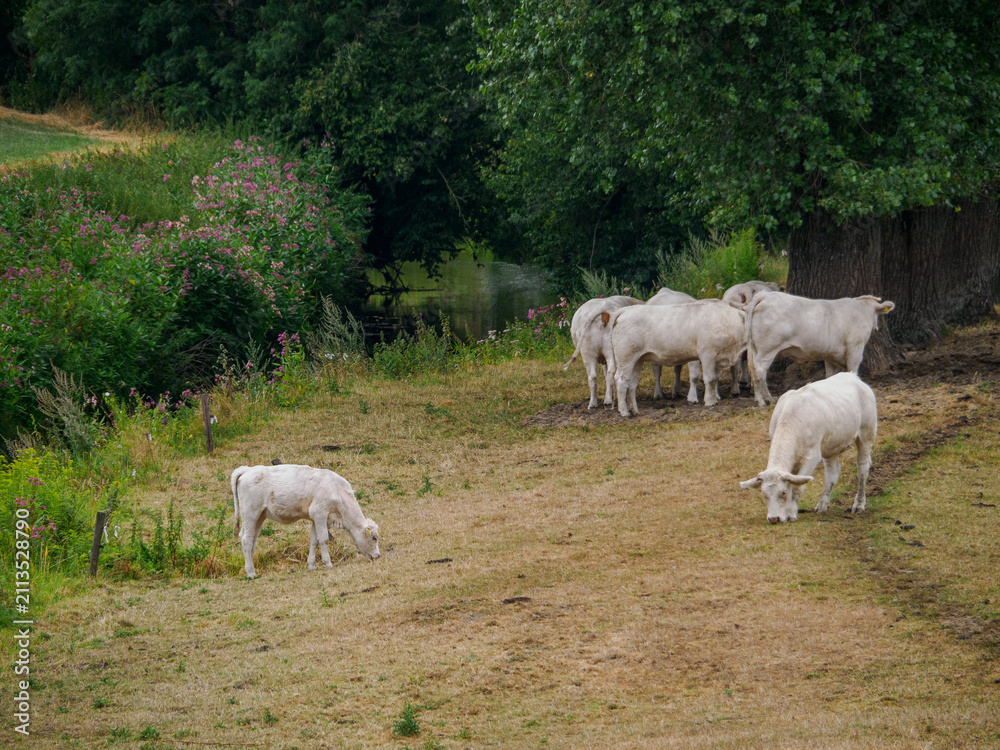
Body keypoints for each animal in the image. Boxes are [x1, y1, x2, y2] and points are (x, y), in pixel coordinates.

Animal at [232, 464, 380, 579]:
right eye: (374, 538)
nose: (378, 556)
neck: (337, 490)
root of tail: (247, 469)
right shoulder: (320, 513)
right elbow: (324, 539)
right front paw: (328, 563)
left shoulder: (317, 517)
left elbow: (314, 541)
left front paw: (311, 565)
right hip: (250, 514)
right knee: (246, 539)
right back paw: (251, 573)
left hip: (259, 517)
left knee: (251, 540)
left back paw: (250, 569)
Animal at [610, 300, 746, 415]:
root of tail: (626, 310)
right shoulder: (707, 353)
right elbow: (710, 379)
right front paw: (709, 402)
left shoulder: (718, 356)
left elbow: (715, 379)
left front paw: (714, 398)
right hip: (626, 358)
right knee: (621, 380)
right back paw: (624, 412)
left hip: (637, 360)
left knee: (632, 384)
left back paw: (635, 410)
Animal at [739, 372, 878, 523]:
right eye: (764, 494)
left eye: (783, 492)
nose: (774, 519)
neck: (793, 419)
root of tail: (852, 376)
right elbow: (794, 482)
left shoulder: (812, 456)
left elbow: (797, 488)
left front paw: (791, 514)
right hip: (831, 446)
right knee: (832, 474)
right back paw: (822, 505)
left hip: (866, 434)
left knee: (862, 469)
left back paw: (859, 504)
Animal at [745, 292, 895, 406]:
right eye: (877, 315)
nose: (877, 327)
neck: (861, 310)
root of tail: (765, 295)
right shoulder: (855, 349)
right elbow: (852, 372)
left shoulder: (831, 355)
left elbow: (831, 376)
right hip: (768, 349)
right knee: (759, 371)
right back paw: (764, 401)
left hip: (756, 349)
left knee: (755, 370)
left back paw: (764, 399)